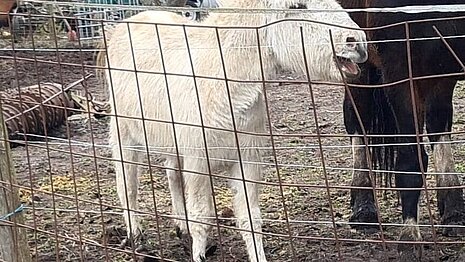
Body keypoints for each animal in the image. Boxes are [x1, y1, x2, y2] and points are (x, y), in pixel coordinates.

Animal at [98, 1, 366, 260]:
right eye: (297, 7)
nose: (358, 43)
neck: (223, 79)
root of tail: (128, 22)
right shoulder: (198, 162)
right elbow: (202, 217)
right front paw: (199, 255)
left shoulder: (246, 159)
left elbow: (250, 218)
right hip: (123, 132)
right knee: (127, 184)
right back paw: (135, 234)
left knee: (172, 173)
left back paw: (180, 227)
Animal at [338, 0, 464, 260]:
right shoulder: (401, 71)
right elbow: (410, 161)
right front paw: (409, 237)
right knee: (358, 119)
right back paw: (364, 208)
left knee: (437, 124)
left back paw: (454, 209)